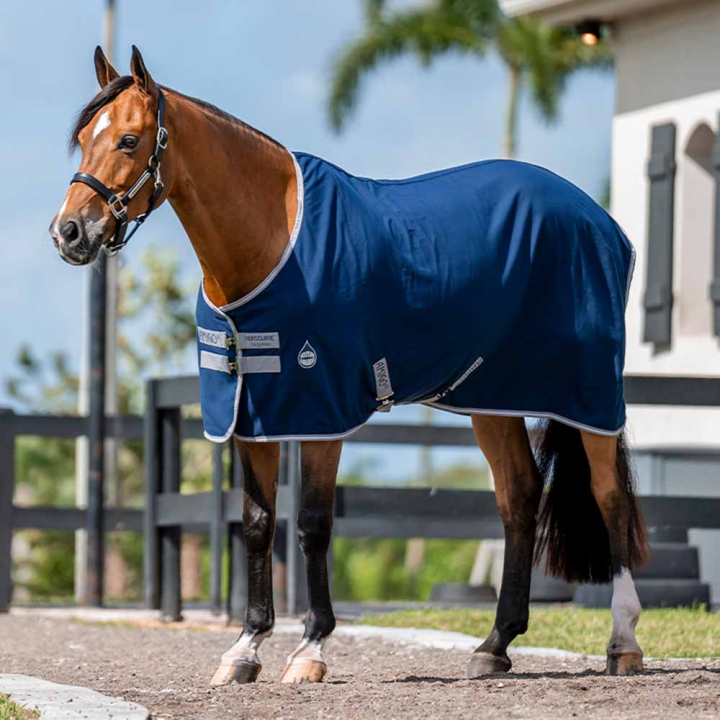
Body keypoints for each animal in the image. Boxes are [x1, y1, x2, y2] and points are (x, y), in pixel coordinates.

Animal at [49, 46, 648, 684]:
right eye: (83, 138)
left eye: (130, 140)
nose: (69, 232)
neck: (271, 240)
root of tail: (600, 220)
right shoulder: (252, 412)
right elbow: (257, 524)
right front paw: (244, 649)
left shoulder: (321, 409)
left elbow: (312, 523)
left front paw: (310, 649)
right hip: (492, 399)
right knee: (519, 497)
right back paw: (495, 644)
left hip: (588, 393)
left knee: (609, 496)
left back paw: (622, 642)